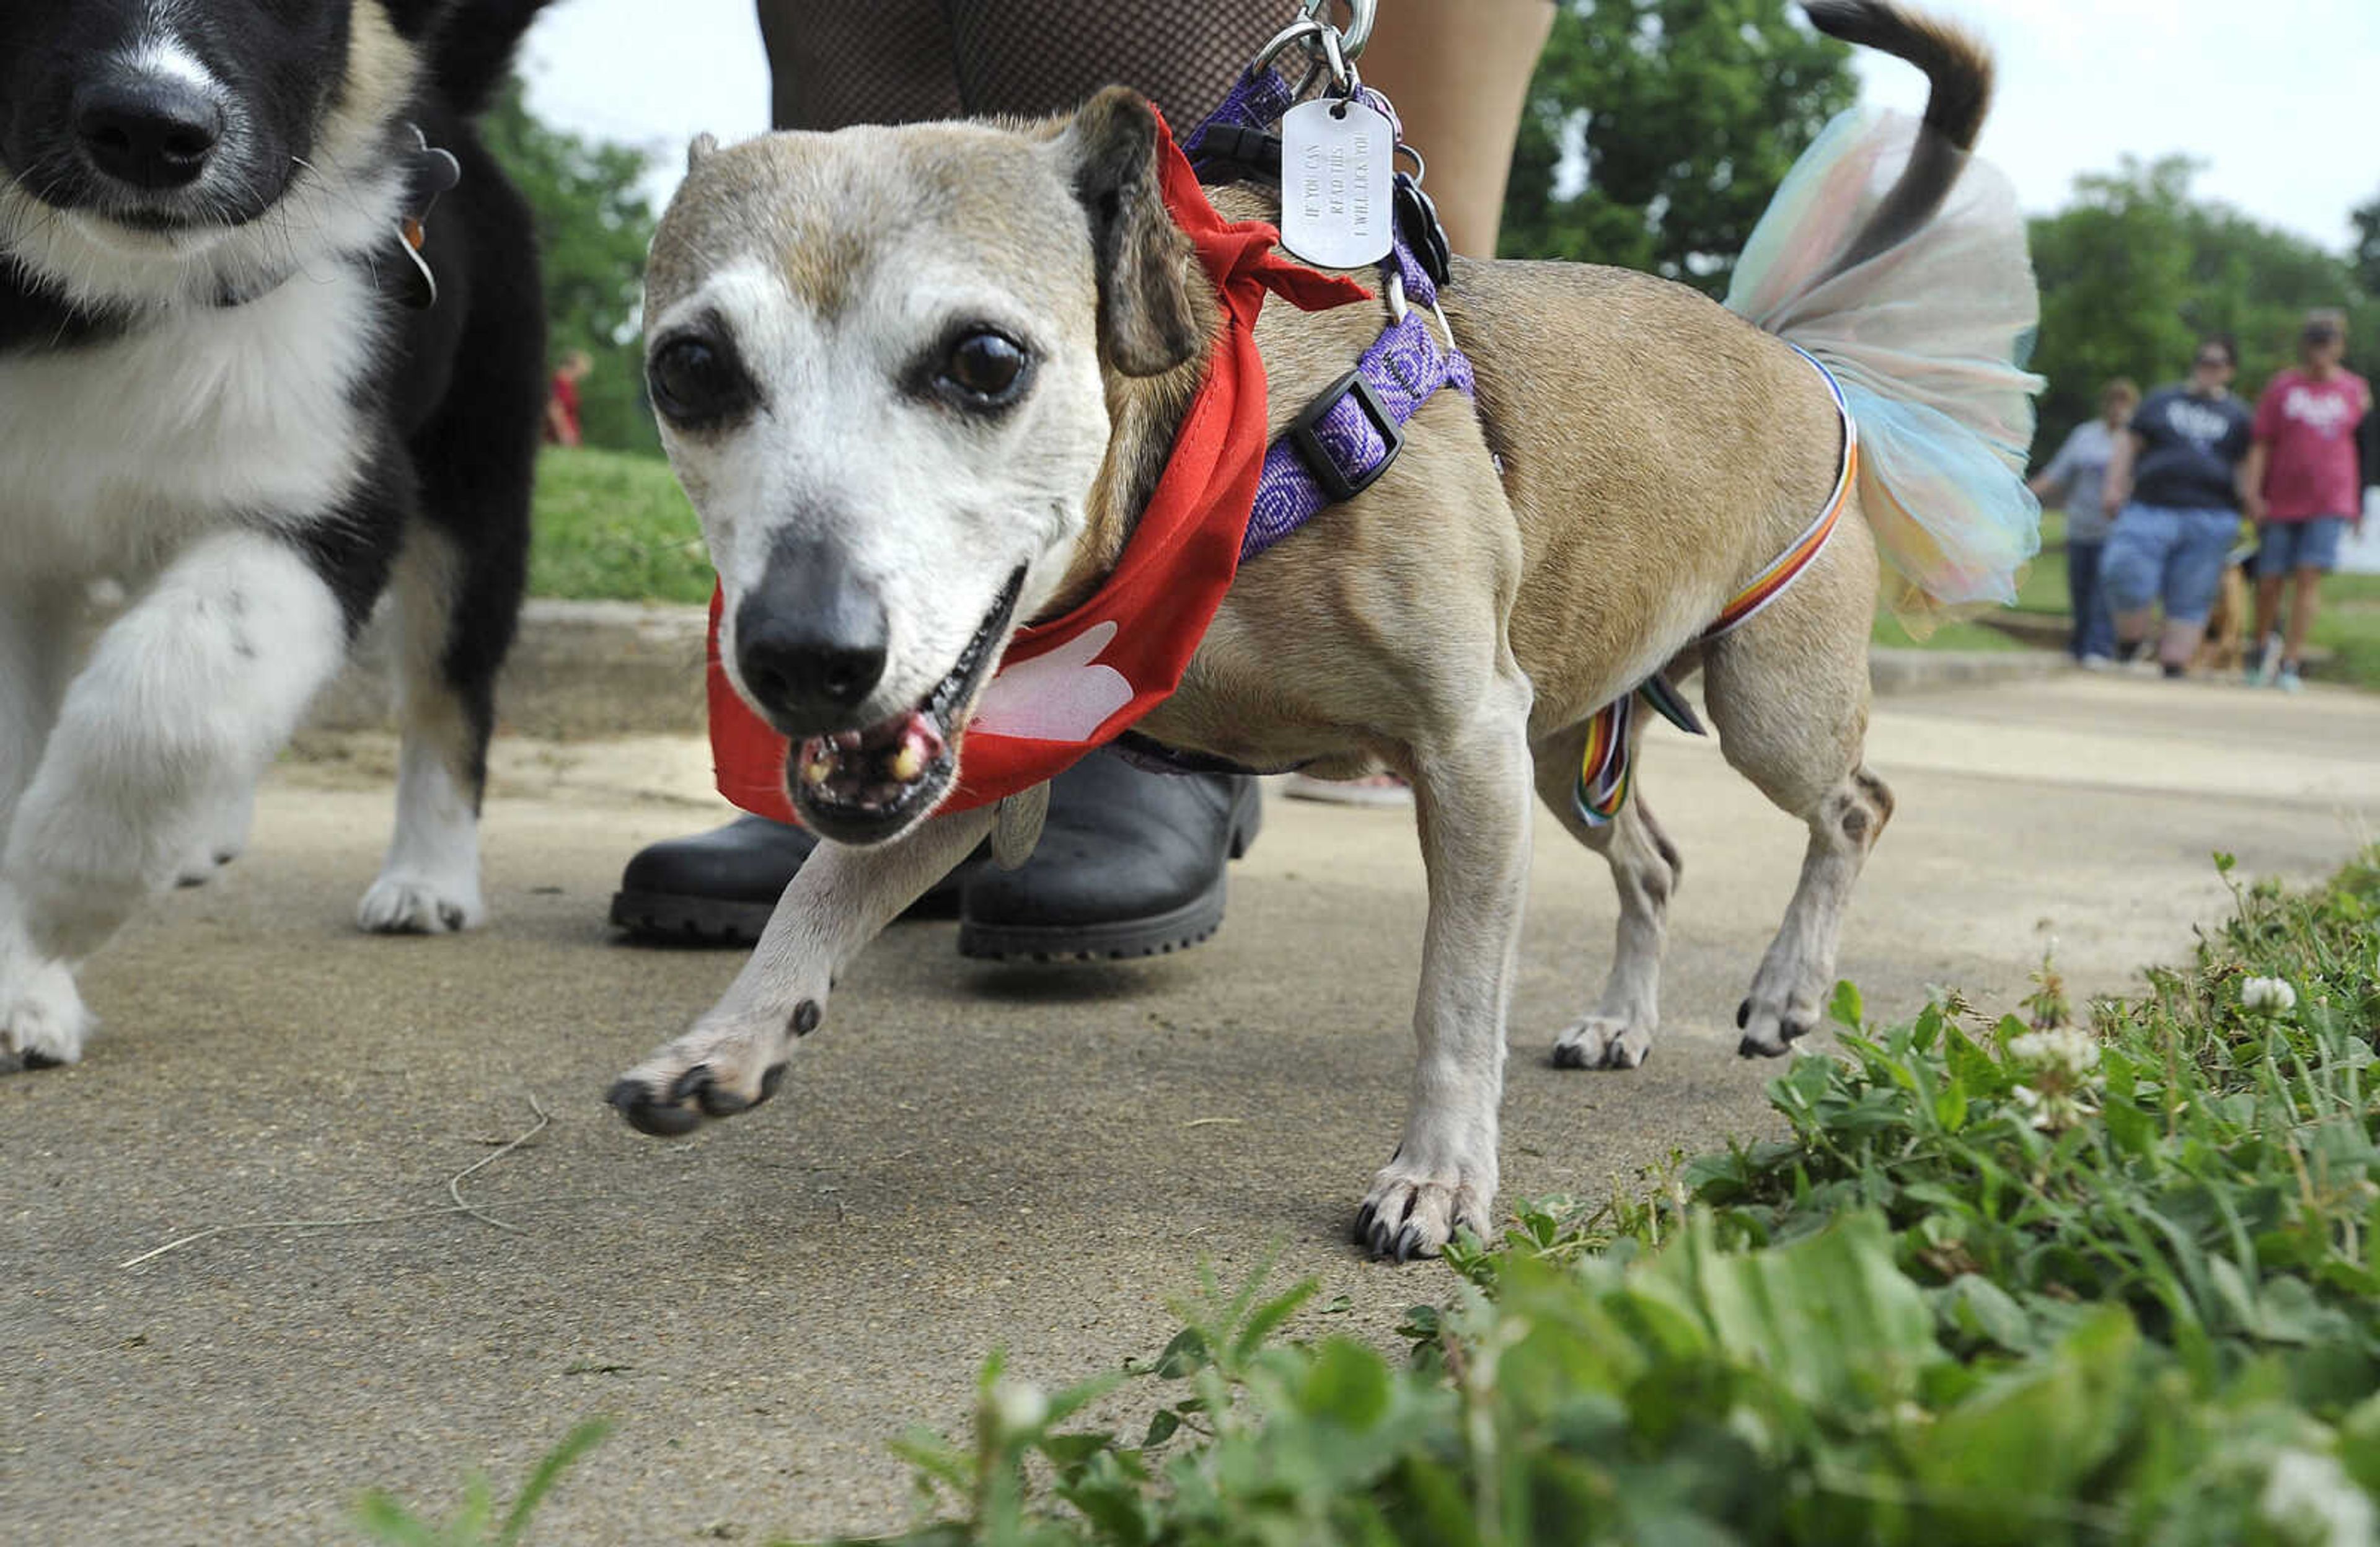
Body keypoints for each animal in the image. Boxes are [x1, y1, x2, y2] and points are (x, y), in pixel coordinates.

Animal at [0, 0, 552, 1066]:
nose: (149, 131)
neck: (94, 300)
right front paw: (21, 987)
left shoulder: (332, 492)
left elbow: (174, 689)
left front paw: (63, 884)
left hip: (476, 487)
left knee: (450, 692)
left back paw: (429, 878)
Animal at [604, 0, 1999, 1256]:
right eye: (688, 369)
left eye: (987, 361)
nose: (801, 659)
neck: (1206, 457)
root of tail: (1784, 346)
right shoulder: (976, 742)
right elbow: (819, 888)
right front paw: (729, 1036)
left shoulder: (1466, 747)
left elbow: (1455, 1000)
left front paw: (1439, 1176)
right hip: (1565, 745)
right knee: (1653, 863)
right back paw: (1622, 1020)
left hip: (1761, 704)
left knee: (1856, 806)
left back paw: (1788, 987)